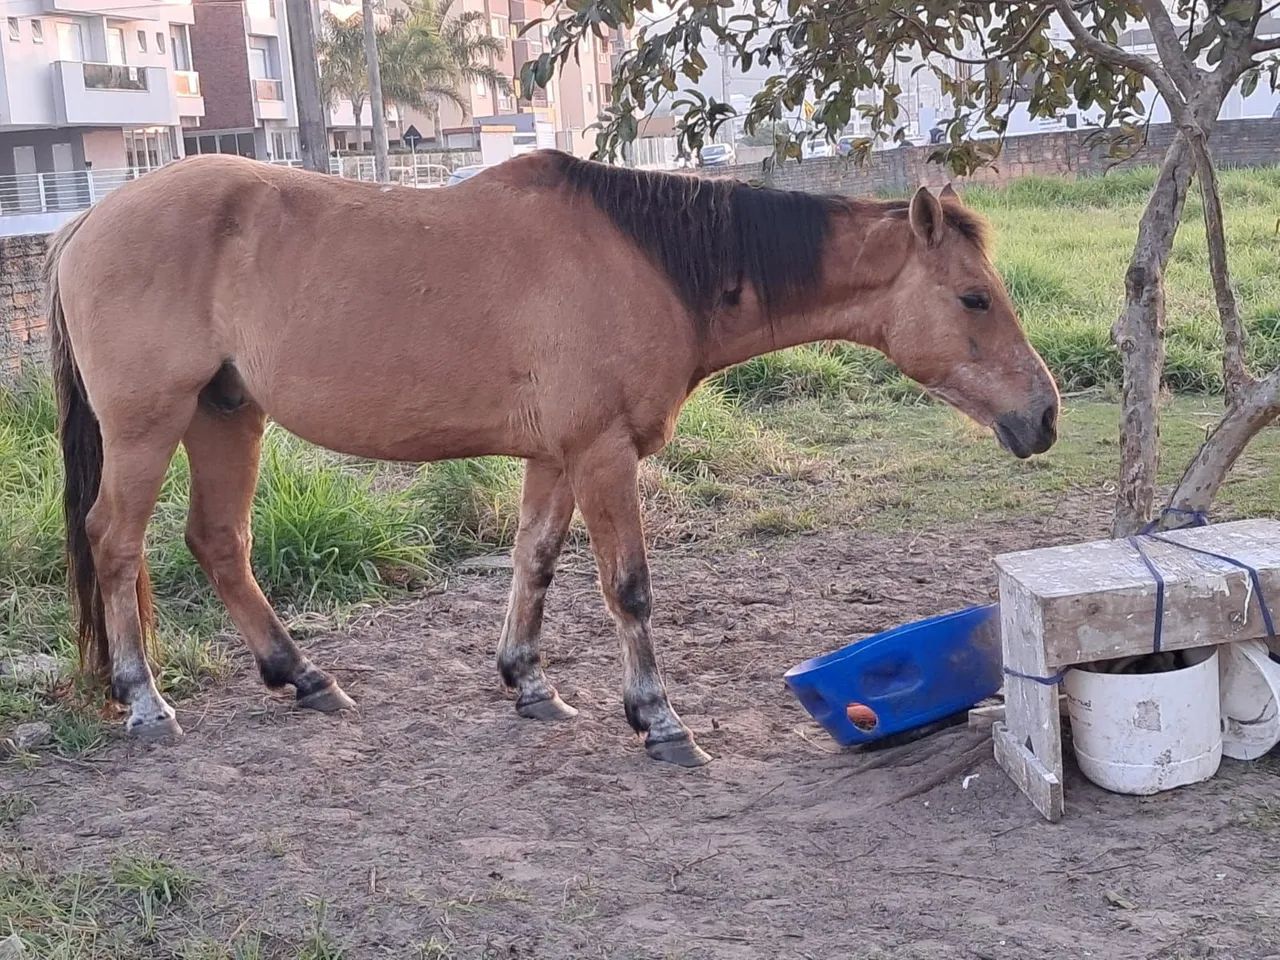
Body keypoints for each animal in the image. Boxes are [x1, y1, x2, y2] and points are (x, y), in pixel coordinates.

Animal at [47, 150, 1058, 766]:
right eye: (973, 299)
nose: (1042, 415)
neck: (649, 261)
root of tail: (87, 225)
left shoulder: (556, 457)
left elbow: (533, 560)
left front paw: (528, 683)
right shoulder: (602, 453)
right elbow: (629, 588)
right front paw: (658, 720)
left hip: (227, 415)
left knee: (219, 543)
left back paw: (305, 678)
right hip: (149, 427)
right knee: (116, 545)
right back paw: (145, 702)